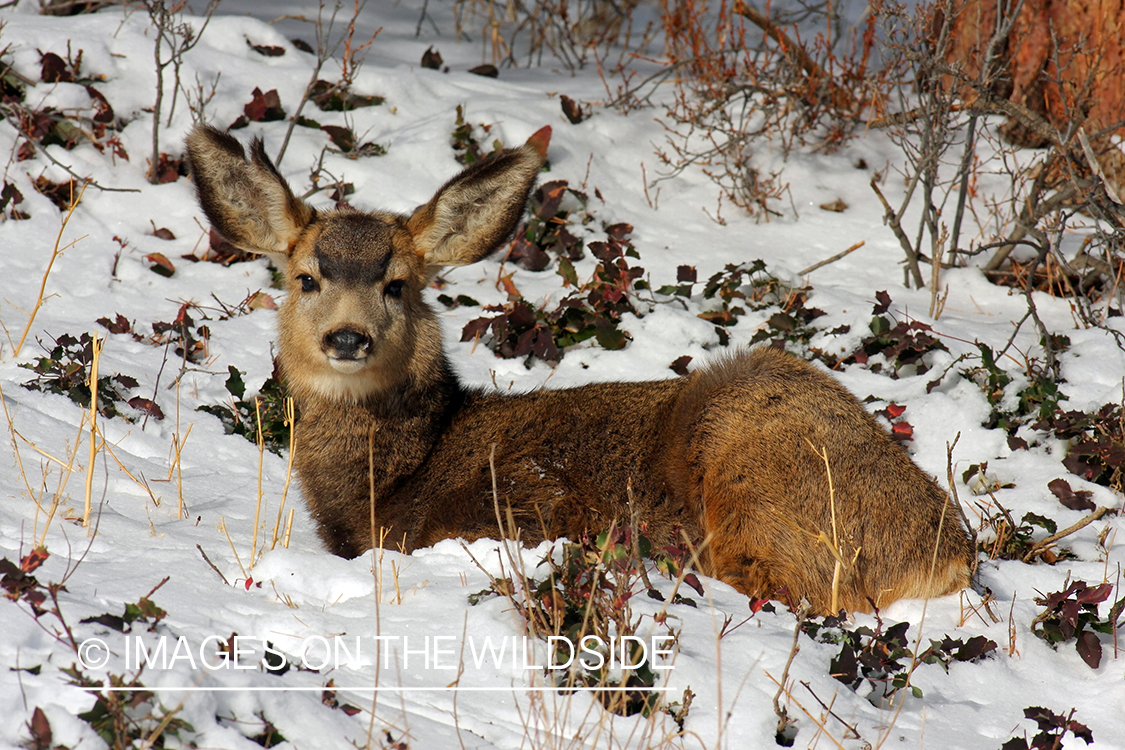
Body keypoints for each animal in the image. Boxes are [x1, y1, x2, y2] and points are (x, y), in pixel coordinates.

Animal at [189, 124, 972, 616]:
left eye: (398, 284)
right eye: (305, 278)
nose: (347, 337)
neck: (388, 485)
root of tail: (948, 551)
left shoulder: (521, 508)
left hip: (759, 467)